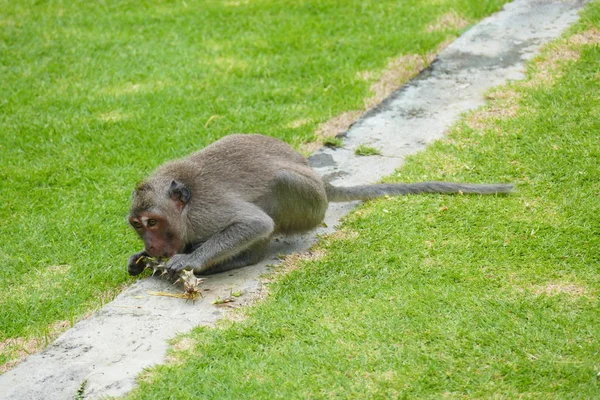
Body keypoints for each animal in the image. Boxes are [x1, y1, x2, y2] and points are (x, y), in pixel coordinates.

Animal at [126, 133, 510, 276]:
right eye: (138, 225)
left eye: (154, 222)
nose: (151, 245)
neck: (185, 209)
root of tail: (320, 179)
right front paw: (141, 259)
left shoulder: (206, 212)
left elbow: (254, 224)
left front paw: (191, 260)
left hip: (308, 202)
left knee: (279, 186)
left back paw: (242, 259)